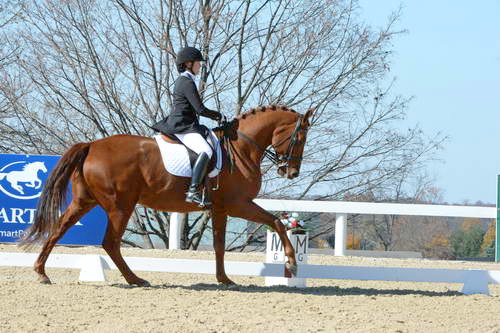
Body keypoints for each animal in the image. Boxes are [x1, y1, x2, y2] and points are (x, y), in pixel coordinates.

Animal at [22, 104, 316, 286]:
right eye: (300, 138)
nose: (291, 172)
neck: (242, 148)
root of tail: (92, 145)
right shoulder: (238, 204)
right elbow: (276, 222)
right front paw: (291, 264)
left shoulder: (219, 208)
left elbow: (219, 245)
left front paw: (224, 279)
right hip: (120, 206)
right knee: (110, 243)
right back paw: (136, 280)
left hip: (85, 201)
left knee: (59, 229)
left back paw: (41, 273)